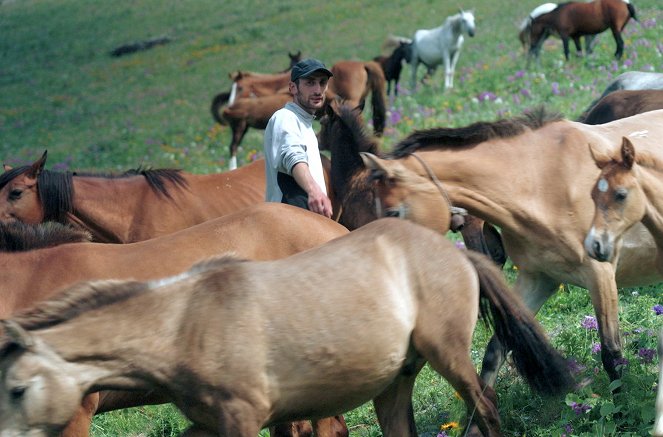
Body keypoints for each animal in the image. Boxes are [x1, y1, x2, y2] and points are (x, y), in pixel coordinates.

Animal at [318, 104, 663, 392]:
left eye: (392, 213)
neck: (543, 182)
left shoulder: (600, 275)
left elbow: (612, 354)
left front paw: (621, 409)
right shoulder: (538, 279)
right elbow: (494, 352)